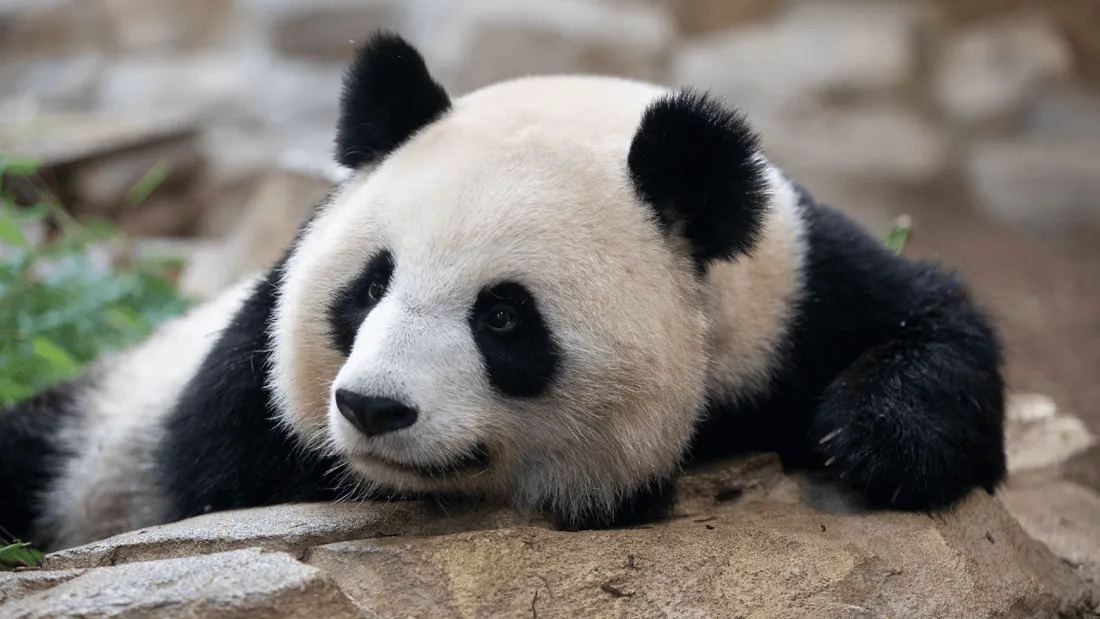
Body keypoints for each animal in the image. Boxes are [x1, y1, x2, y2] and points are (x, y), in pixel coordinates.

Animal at [0, 31, 1006, 553]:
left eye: (504, 317)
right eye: (368, 286)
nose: (372, 407)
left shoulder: (794, 291)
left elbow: (932, 323)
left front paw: (874, 443)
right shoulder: (239, 368)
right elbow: (224, 475)